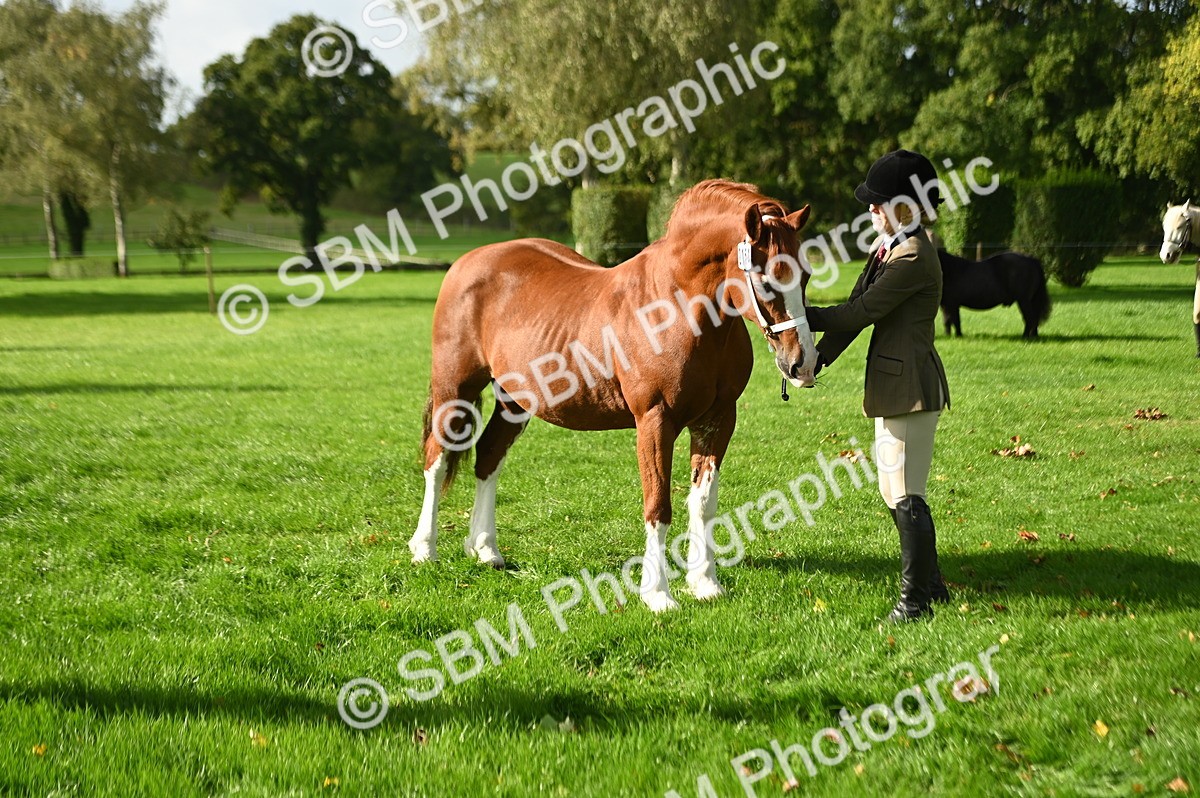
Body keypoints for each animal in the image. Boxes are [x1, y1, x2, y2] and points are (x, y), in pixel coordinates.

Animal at [407, 180, 816, 612]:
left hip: (514, 400)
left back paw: (486, 550)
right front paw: (658, 594)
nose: (802, 363)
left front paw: (705, 584)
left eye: (805, 275)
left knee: (488, 457)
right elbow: (658, 506)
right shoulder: (655, 421)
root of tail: (466, 262)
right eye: (767, 280)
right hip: (456, 389)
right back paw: (425, 549)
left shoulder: (717, 419)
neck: (678, 308)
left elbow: (703, 504)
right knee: (437, 459)